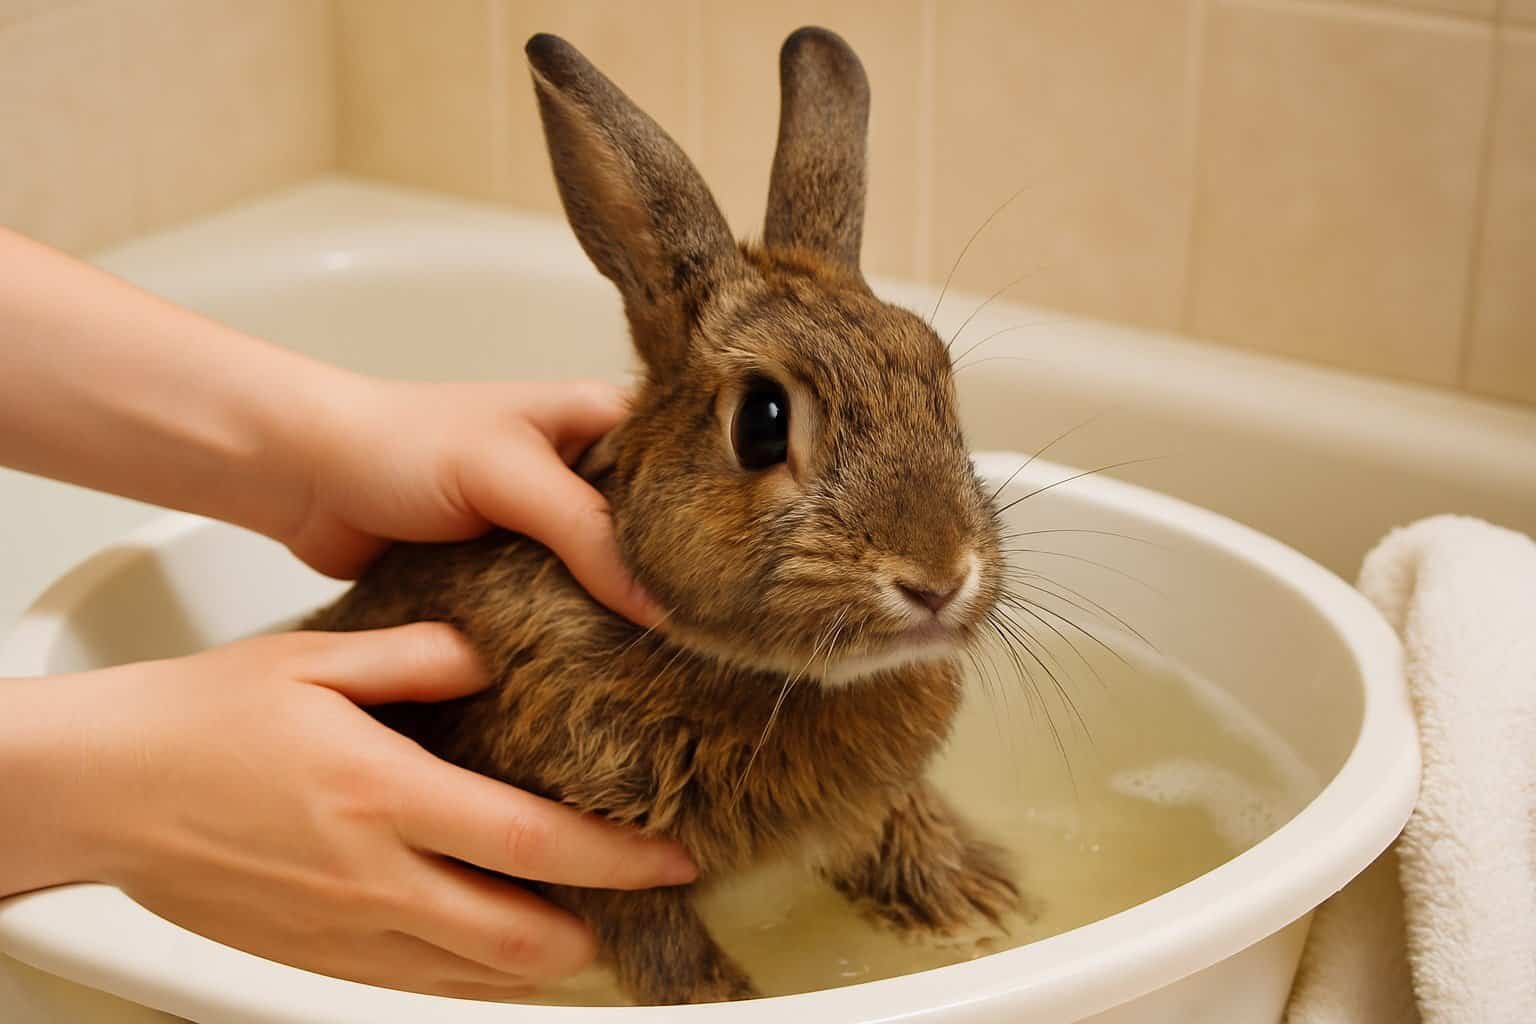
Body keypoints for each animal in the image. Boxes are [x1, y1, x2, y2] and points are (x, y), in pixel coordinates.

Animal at [304, 26, 1024, 1005]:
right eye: (761, 422)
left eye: (941, 383)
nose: (939, 576)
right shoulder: (591, 846)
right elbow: (654, 936)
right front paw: (721, 996)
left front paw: (978, 905)